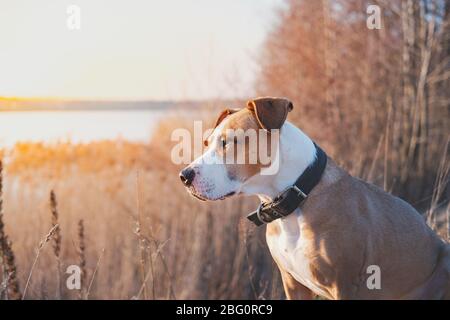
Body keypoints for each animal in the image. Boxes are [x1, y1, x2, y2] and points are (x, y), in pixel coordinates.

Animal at [179, 97, 450, 300]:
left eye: (228, 143)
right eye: (206, 143)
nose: (184, 175)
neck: (294, 198)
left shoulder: (344, 284)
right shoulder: (293, 283)